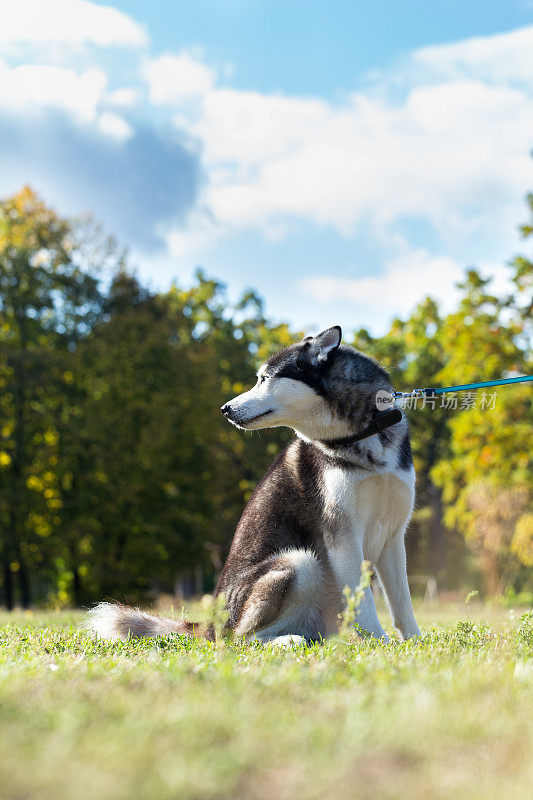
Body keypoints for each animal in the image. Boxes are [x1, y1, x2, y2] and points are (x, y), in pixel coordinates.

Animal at [88, 324, 420, 644]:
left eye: (264, 379)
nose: (224, 408)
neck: (364, 434)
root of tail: (211, 625)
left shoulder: (393, 535)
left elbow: (402, 602)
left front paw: (414, 641)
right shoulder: (343, 535)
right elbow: (362, 601)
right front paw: (379, 641)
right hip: (299, 562)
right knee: (241, 638)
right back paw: (287, 640)